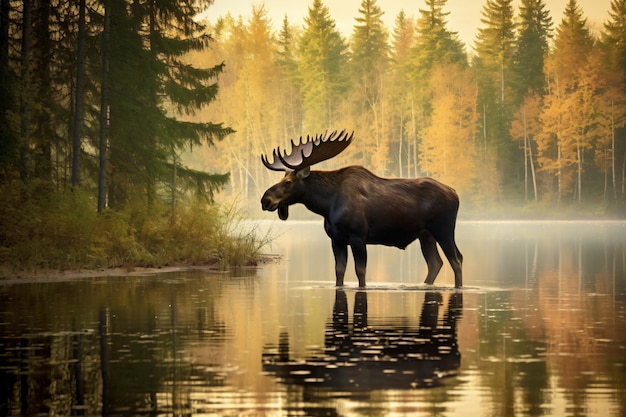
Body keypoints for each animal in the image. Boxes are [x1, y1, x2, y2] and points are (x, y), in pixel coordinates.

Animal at [260, 129, 460, 286]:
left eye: (288, 182)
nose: (265, 200)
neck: (327, 205)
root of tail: (455, 194)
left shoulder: (358, 236)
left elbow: (360, 271)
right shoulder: (336, 239)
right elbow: (339, 271)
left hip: (443, 230)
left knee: (456, 260)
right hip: (425, 235)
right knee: (436, 263)